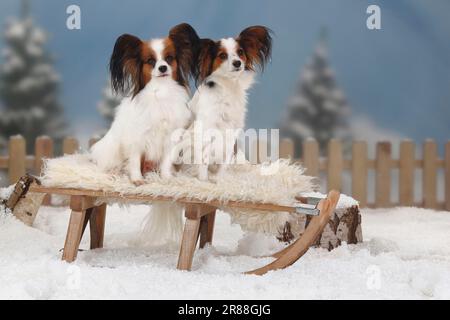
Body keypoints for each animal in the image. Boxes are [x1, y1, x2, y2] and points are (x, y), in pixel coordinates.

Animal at [89, 23, 199, 185]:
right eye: (151, 61)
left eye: (169, 58)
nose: (162, 68)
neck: (160, 91)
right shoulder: (137, 138)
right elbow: (134, 161)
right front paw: (137, 180)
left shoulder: (169, 137)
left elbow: (166, 161)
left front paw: (166, 177)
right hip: (111, 151)